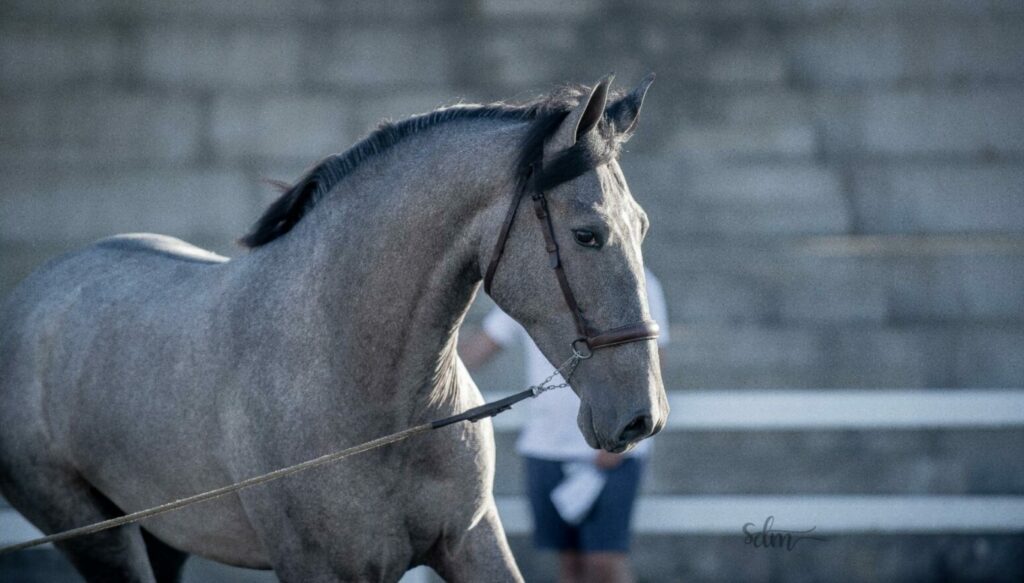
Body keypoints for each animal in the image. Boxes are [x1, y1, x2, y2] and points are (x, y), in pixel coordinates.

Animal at [0, 74, 667, 577]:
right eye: (587, 234)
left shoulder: (473, 541)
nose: (644, 417)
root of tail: (31, 298)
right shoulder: (324, 568)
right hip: (96, 535)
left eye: (642, 225)